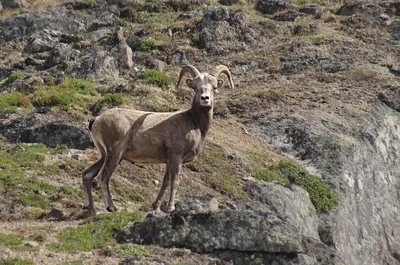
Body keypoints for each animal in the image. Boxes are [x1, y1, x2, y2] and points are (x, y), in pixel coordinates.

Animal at [83, 64, 234, 214]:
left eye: (214, 87)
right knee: (103, 177)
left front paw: (156, 206)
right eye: (196, 88)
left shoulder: (168, 161)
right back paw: (111, 207)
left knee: (87, 174)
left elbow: (165, 182)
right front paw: (170, 207)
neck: (193, 122)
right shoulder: (176, 157)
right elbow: (174, 181)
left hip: (105, 155)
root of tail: (97, 119)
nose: (205, 98)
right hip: (114, 154)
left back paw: (90, 208)